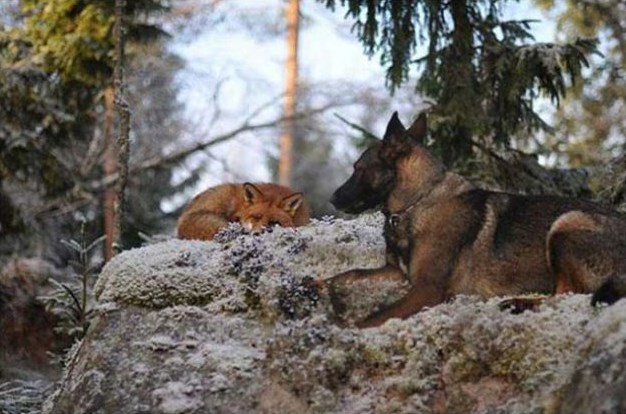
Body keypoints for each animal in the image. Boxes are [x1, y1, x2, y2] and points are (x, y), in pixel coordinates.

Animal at [324, 111, 624, 328]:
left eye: (358, 169)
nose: (332, 199)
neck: (416, 204)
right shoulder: (395, 272)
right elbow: (347, 275)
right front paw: (320, 286)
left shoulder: (426, 289)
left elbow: (373, 318)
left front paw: (342, 330)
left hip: (566, 223)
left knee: (569, 296)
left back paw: (519, 303)